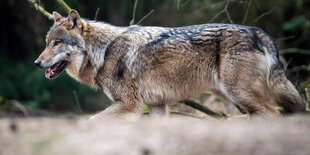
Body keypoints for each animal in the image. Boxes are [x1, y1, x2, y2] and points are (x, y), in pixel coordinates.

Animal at [34, 9, 306, 118]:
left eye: (56, 43)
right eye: (47, 42)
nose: (37, 62)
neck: (103, 51)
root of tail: (259, 32)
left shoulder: (129, 105)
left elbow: (90, 121)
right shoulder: (156, 106)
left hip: (241, 95)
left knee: (277, 115)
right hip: (240, 100)